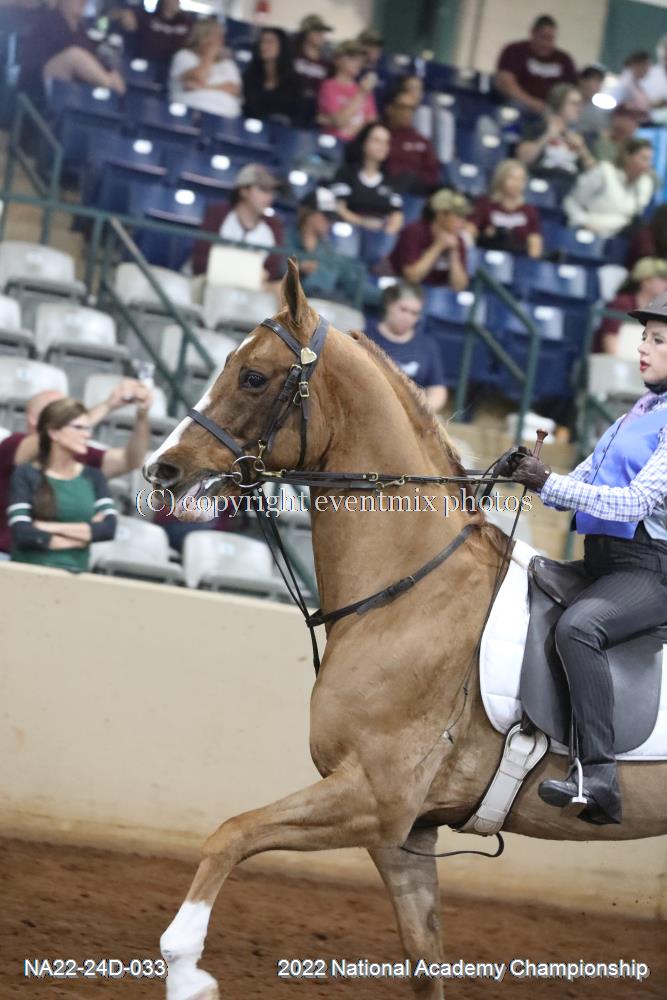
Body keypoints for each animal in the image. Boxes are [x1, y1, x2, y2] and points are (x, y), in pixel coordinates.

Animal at [145, 260, 667, 1000]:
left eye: (253, 376)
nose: (161, 469)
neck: (410, 590)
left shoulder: (375, 796)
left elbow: (231, 832)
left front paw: (188, 968)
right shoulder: (403, 834)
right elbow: (423, 959)